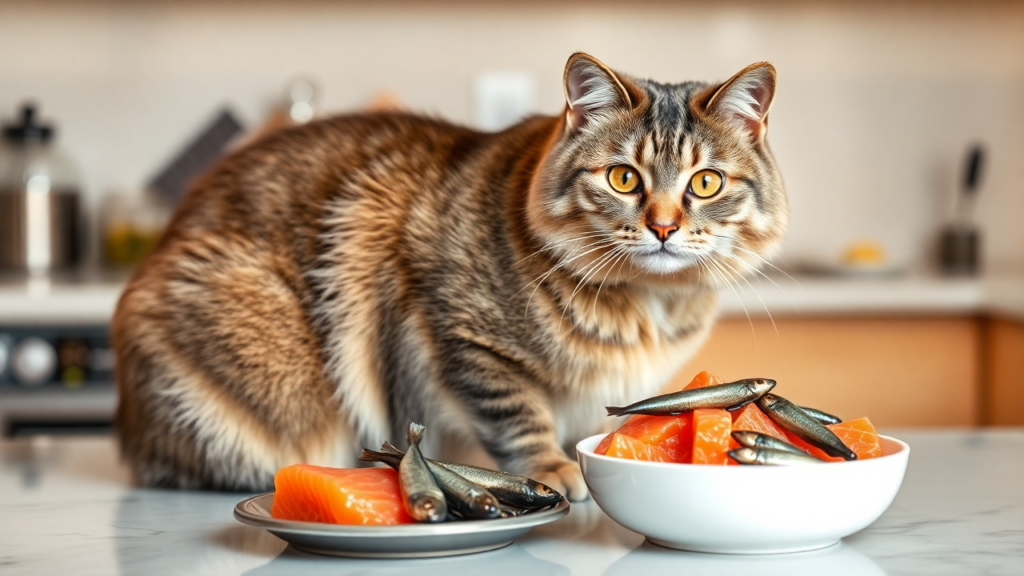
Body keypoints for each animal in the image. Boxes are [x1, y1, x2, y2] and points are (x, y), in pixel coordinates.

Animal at [110, 52, 782, 498]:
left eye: (705, 183)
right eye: (623, 178)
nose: (664, 227)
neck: (649, 303)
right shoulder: (466, 342)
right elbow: (518, 418)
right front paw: (553, 470)